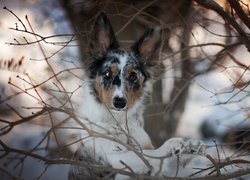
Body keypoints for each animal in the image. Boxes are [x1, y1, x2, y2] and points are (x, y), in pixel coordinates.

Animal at [52, 12, 205, 179]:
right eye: (107, 73)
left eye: (133, 76)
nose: (119, 102)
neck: (118, 121)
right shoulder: (118, 159)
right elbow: (152, 154)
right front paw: (174, 144)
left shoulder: (154, 165)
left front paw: (190, 146)